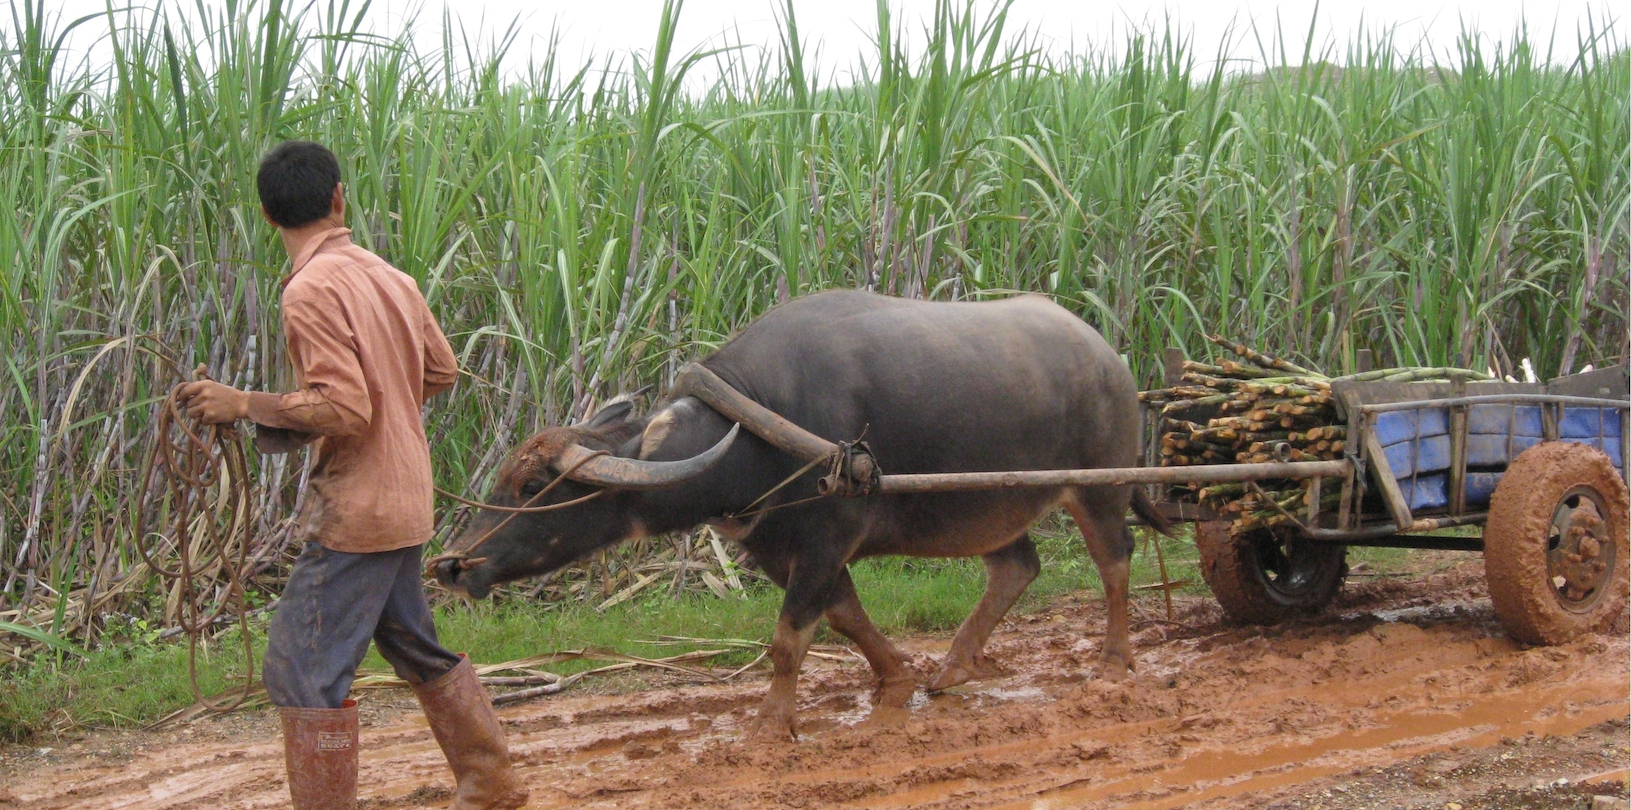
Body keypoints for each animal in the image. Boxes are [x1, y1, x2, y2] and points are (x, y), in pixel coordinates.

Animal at [440, 290, 1167, 739]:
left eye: (535, 486)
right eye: (504, 477)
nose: (452, 564)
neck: (757, 428)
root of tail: (1108, 356)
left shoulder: (823, 540)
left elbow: (790, 638)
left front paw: (770, 724)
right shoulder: (778, 547)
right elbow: (845, 617)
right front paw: (897, 681)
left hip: (1098, 488)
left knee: (1114, 560)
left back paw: (1112, 662)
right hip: (987, 507)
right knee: (1018, 566)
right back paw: (954, 666)